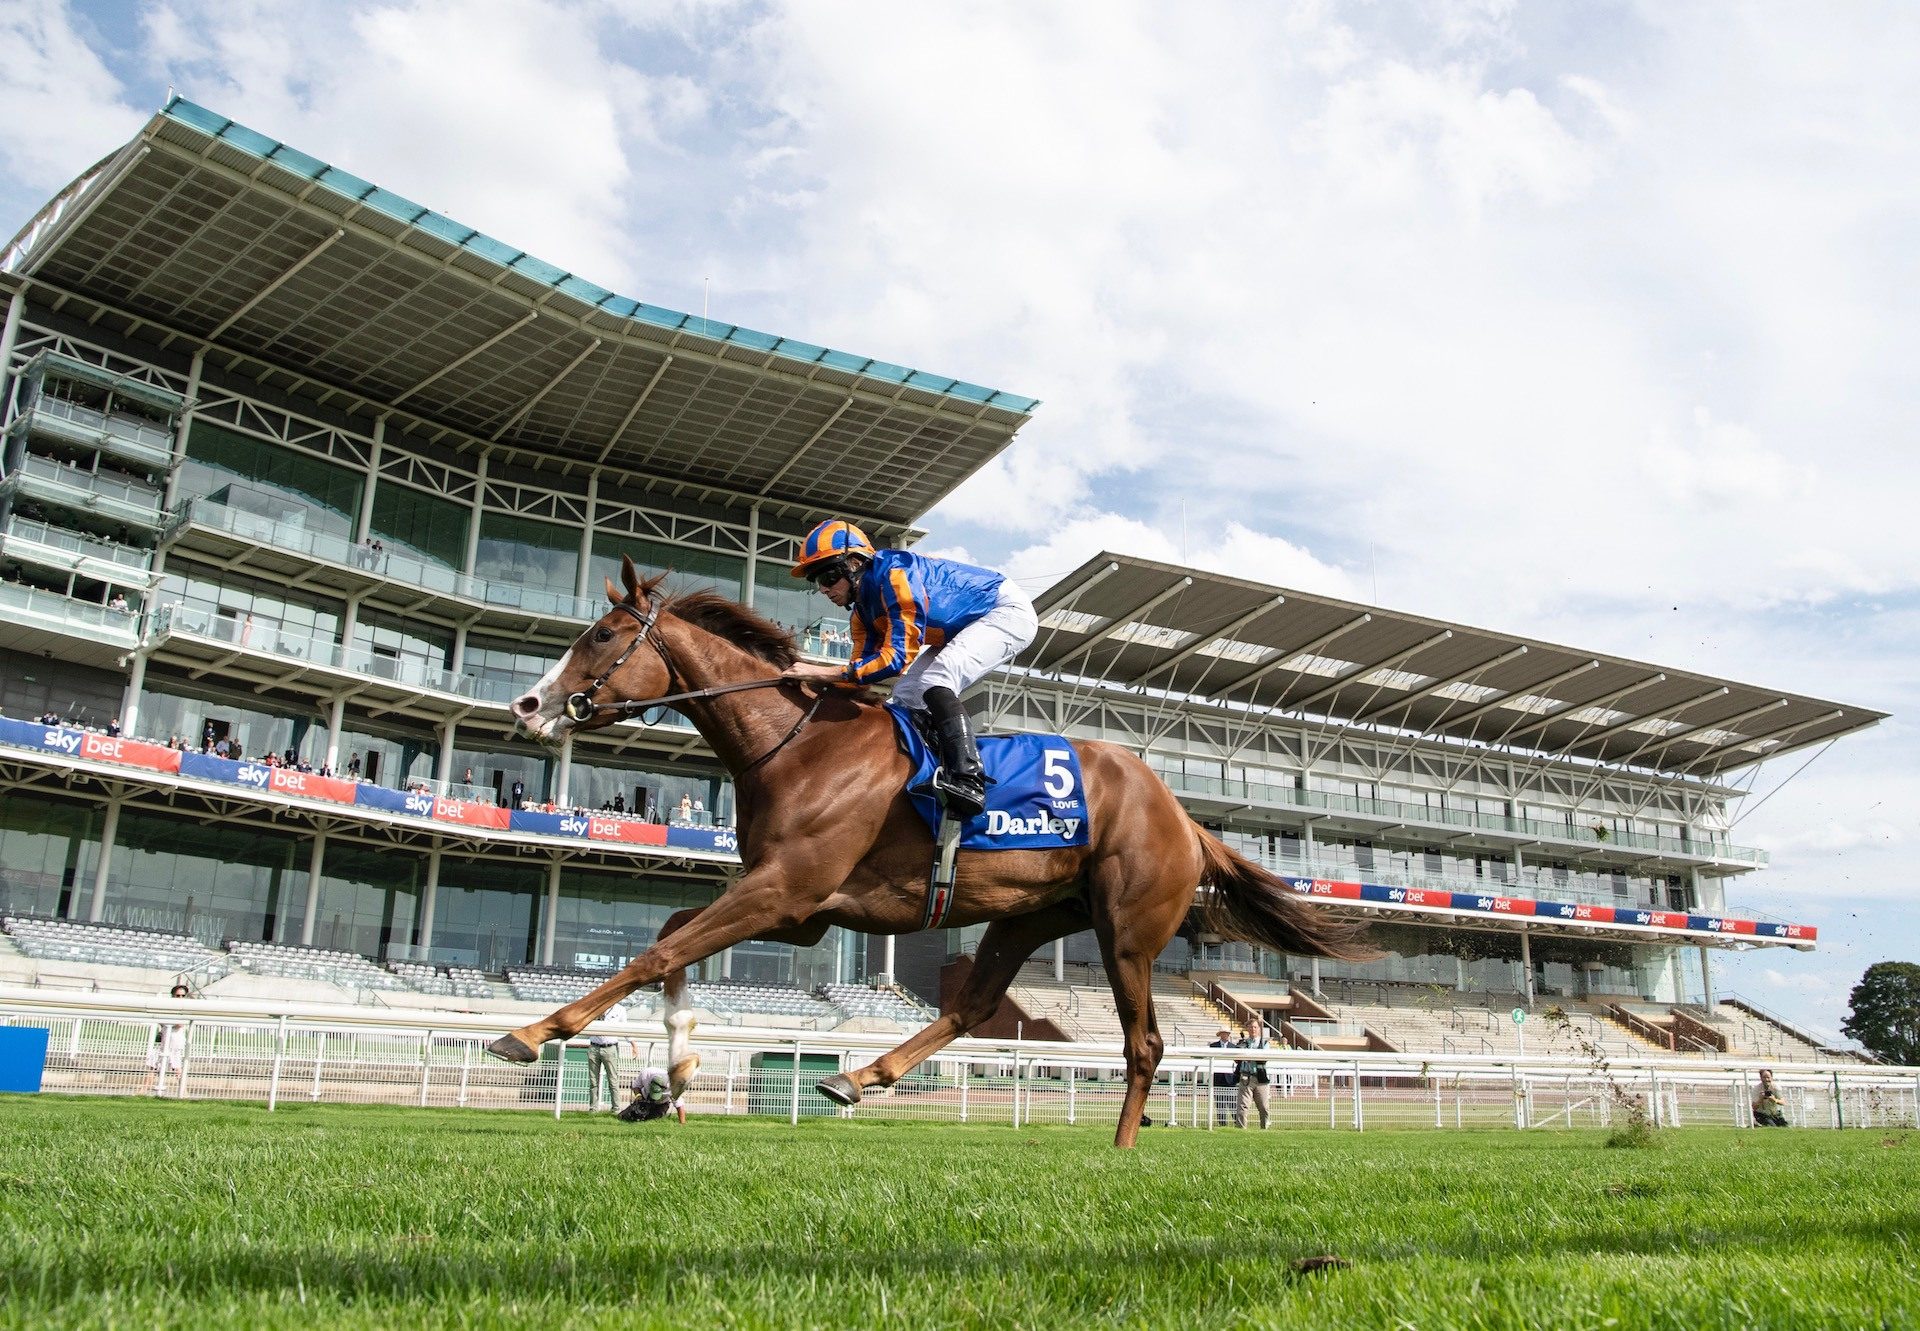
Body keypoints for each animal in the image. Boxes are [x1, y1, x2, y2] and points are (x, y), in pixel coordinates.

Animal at [491, 556, 1367, 1144]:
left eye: (603, 635)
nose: (528, 703)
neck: (798, 744)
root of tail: (1183, 815)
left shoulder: (785, 890)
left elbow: (652, 953)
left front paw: (535, 1031)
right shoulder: (798, 908)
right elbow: (671, 937)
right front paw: (669, 1070)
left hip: (1126, 932)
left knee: (1143, 1041)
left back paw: (1120, 1144)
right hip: (1027, 916)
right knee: (971, 1008)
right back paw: (857, 1075)